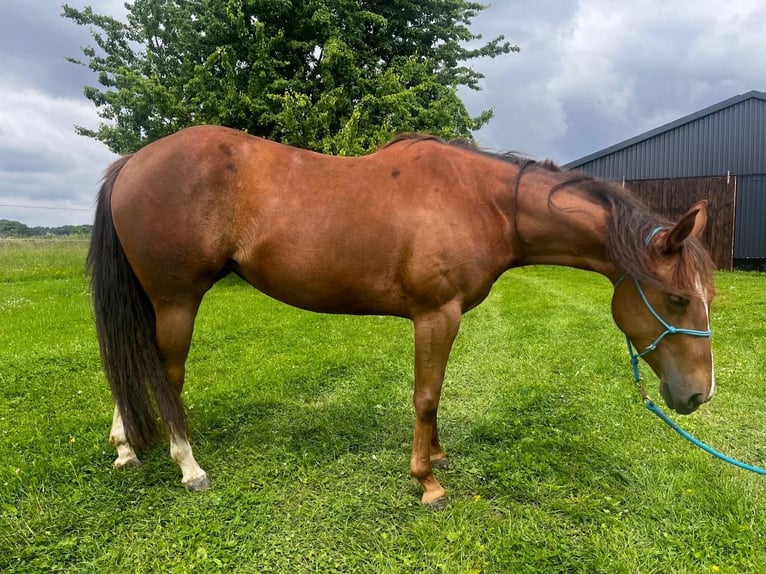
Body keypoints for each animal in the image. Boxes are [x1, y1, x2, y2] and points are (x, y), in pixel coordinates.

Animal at [87, 126, 716, 504]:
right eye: (677, 299)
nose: (698, 394)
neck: (484, 202)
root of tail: (133, 162)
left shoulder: (444, 318)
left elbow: (435, 391)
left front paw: (435, 455)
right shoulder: (437, 314)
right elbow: (426, 394)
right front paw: (427, 480)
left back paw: (126, 448)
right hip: (176, 300)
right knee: (164, 375)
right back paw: (188, 465)